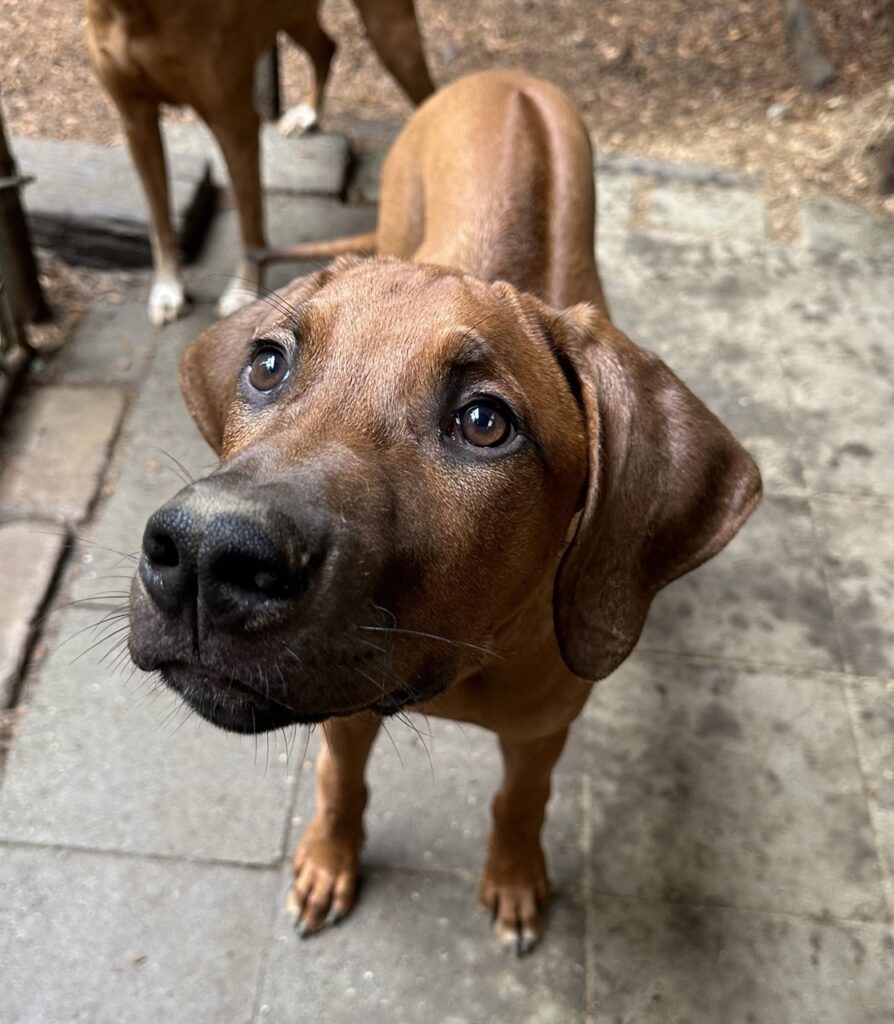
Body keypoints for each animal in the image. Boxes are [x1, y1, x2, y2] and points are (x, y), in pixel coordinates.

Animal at [85, 0, 434, 323]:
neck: (136, 11)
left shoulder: (234, 120)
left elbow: (250, 221)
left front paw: (244, 291)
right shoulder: (136, 120)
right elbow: (159, 219)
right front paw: (168, 290)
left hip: (391, 32)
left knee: (428, 93)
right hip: (295, 15)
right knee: (326, 47)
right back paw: (307, 114)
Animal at [127, 70, 761, 950]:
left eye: (485, 422)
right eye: (267, 365)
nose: (205, 554)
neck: (460, 662)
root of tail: (506, 78)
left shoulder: (542, 730)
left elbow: (520, 802)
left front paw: (515, 877)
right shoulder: (343, 710)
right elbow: (340, 780)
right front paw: (328, 860)